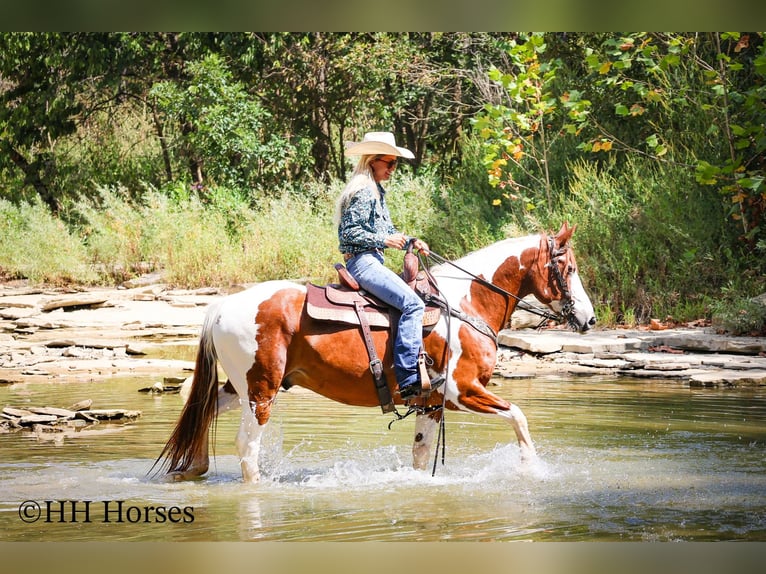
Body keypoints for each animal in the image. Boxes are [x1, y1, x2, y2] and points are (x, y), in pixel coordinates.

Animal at [154, 222, 596, 482]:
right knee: (247, 447)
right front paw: (532, 471)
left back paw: (194, 470)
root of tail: (222, 305)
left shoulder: (431, 403)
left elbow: (420, 454)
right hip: (261, 390)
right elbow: (519, 417)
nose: (589, 319)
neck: (465, 305)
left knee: (203, 414)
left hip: (240, 388)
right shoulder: (462, 391)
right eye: (570, 269)